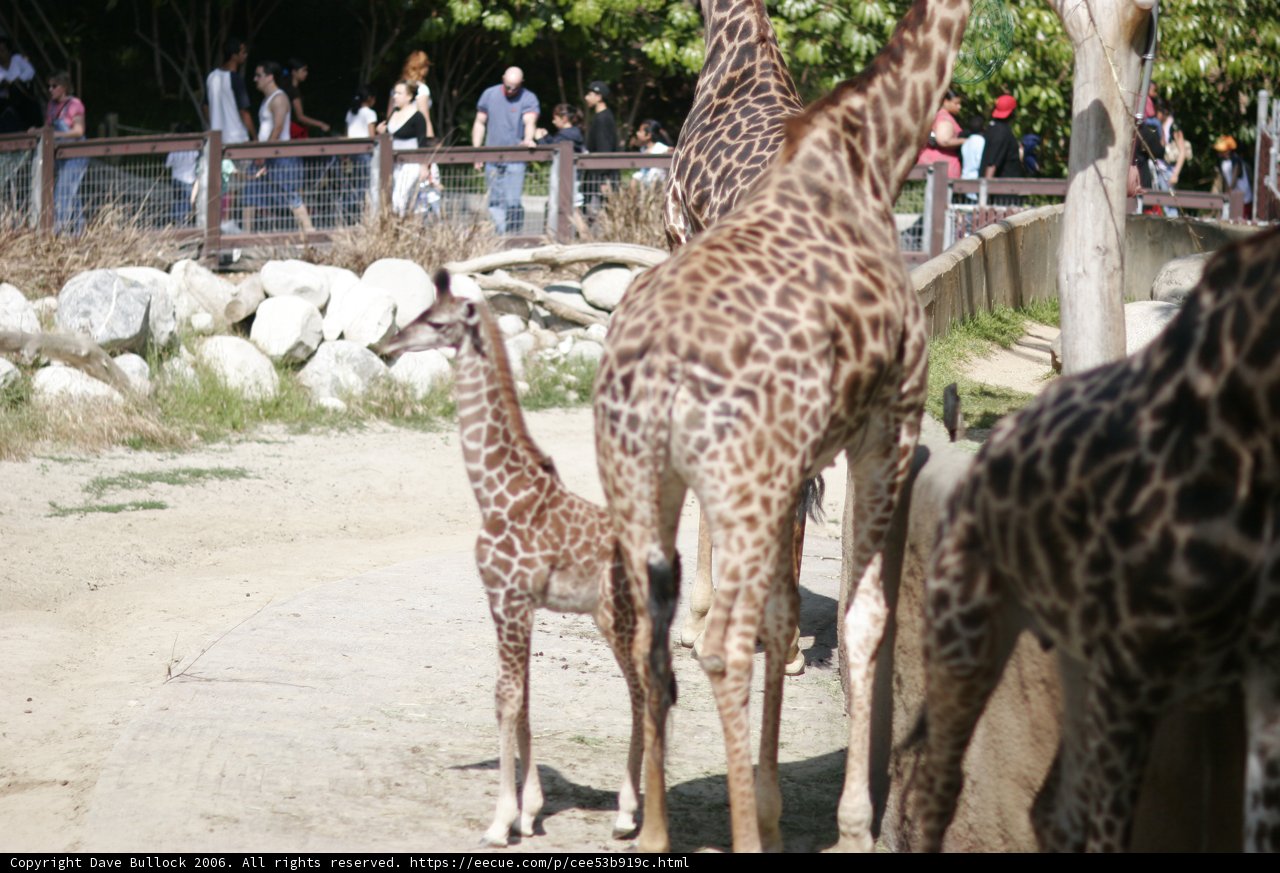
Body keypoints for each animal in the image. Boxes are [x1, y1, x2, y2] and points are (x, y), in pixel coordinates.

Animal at [380, 271, 644, 848]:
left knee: (647, 691)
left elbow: (505, 698)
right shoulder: (516, 604)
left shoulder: (508, 596)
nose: (388, 344)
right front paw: (530, 811)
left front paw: (501, 822)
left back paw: (628, 814)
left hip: (614, 615)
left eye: (437, 321)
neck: (496, 492)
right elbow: (522, 697)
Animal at [909, 225, 1280, 852]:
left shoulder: (1261, 687)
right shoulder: (1129, 679)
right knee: (937, 781)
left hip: (1070, 662)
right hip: (969, 631)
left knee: (1047, 809)